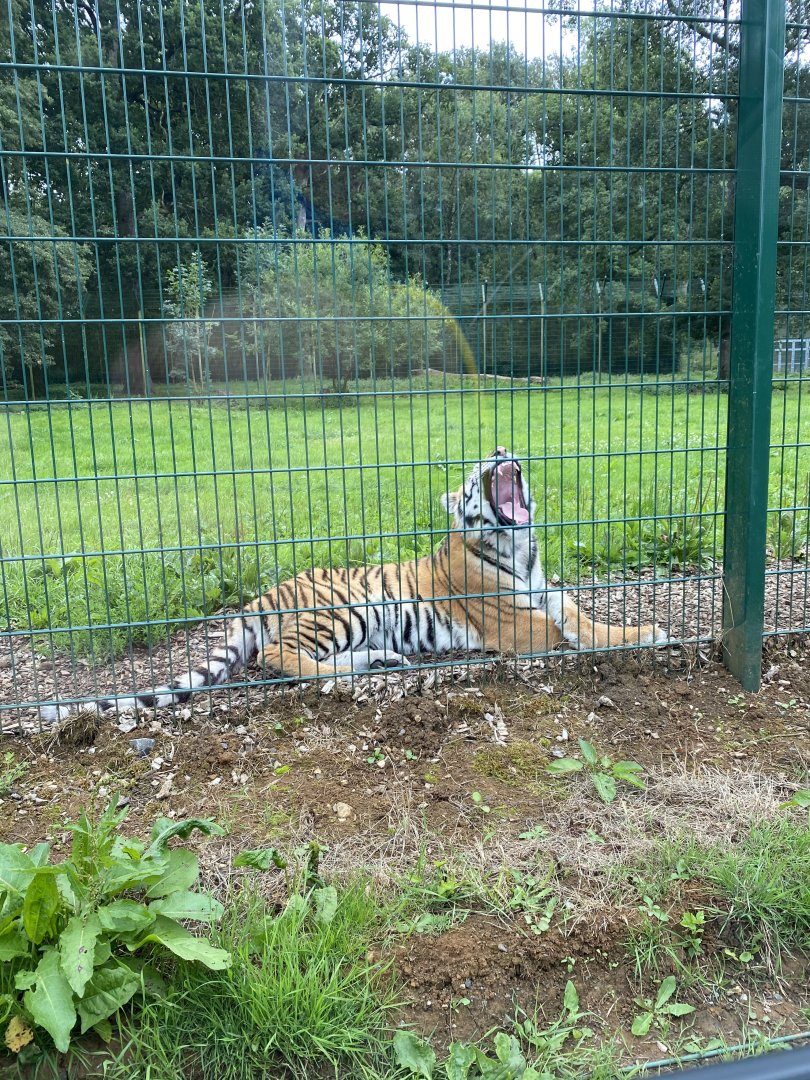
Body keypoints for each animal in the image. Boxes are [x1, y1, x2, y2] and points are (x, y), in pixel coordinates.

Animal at [41, 447, 665, 720]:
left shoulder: (548, 594)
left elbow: (589, 621)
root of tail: (262, 594)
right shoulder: (511, 623)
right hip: (343, 611)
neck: (518, 544)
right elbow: (561, 637)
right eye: (472, 475)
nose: (498, 450)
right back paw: (354, 673)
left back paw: (381, 663)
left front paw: (645, 632)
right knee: (278, 656)